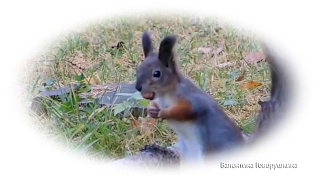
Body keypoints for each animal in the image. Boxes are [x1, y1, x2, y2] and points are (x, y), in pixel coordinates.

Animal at [134, 30, 288, 165]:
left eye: (157, 73)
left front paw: (164, 112)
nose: (138, 87)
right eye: (138, 69)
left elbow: (185, 111)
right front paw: (152, 110)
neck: (165, 95)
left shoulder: (192, 100)